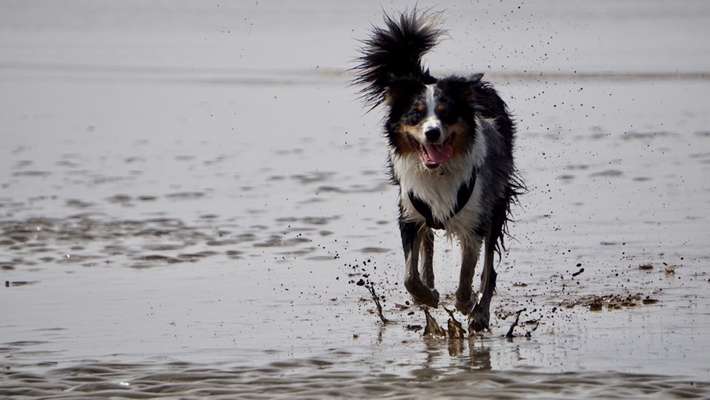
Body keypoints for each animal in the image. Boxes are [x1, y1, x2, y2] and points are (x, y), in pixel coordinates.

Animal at [354, 11, 524, 332]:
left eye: (447, 114)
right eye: (415, 115)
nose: (432, 133)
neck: (438, 171)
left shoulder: (475, 218)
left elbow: (468, 271)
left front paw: (466, 303)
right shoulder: (409, 210)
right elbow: (410, 274)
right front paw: (427, 296)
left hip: (496, 203)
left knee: (489, 269)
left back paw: (480, 313)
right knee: (428, 244)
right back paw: (431, 286)